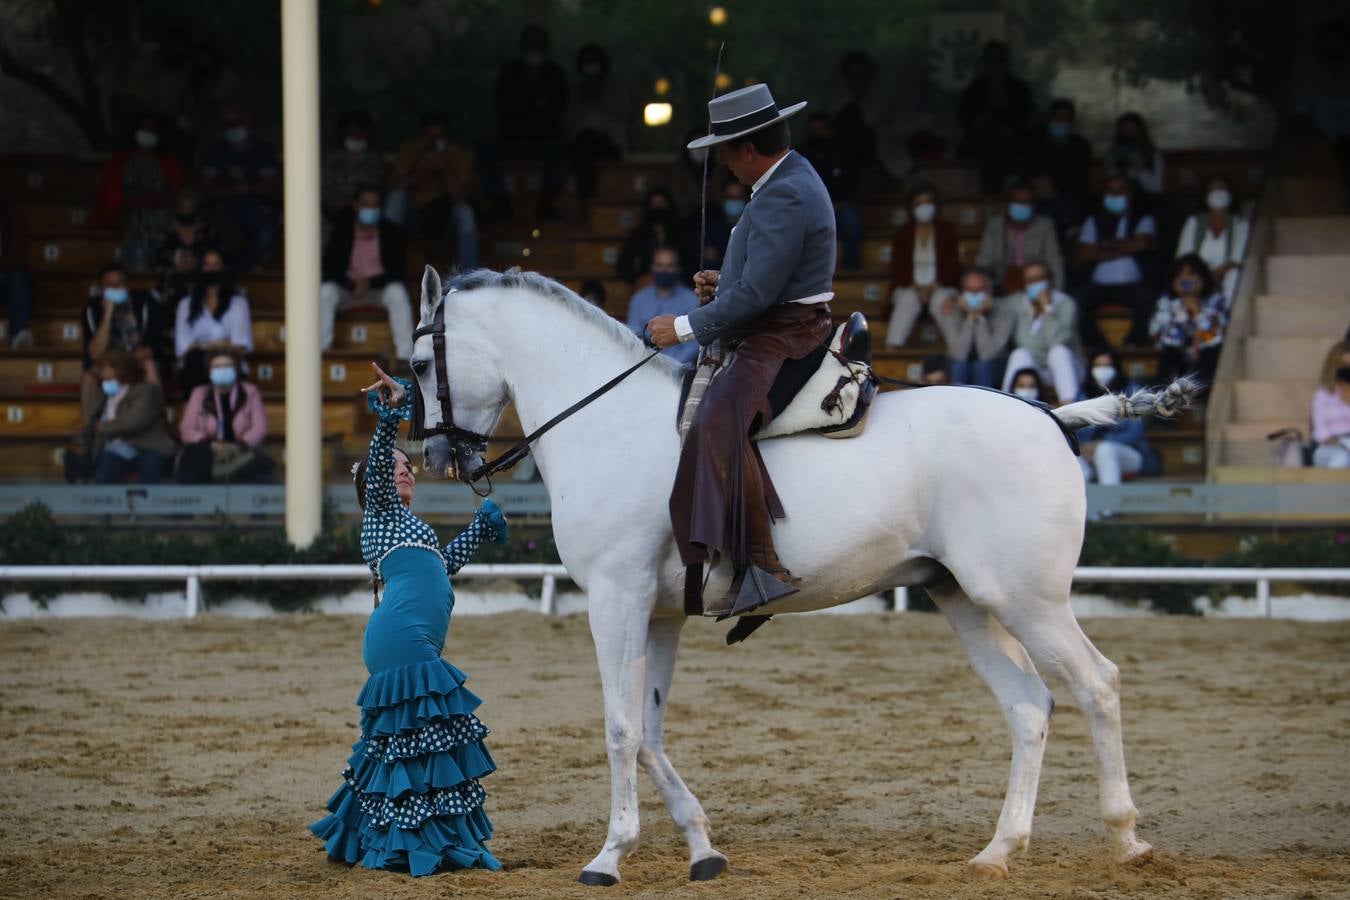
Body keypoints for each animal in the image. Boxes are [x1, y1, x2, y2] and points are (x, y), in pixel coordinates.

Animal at [405, 267, 1188, 885]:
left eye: (415, 364)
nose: (440, 459)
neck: (608, 422)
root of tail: (1048, 415)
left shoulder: (616, 600)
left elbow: (621, 727)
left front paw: (609, 856)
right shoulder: (659, 613)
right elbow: (651, 730)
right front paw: (701, 848)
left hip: (1029, 600)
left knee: (1096, 685)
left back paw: (1126, 837)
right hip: (964, 598)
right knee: (1029, 706)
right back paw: (999, 850)